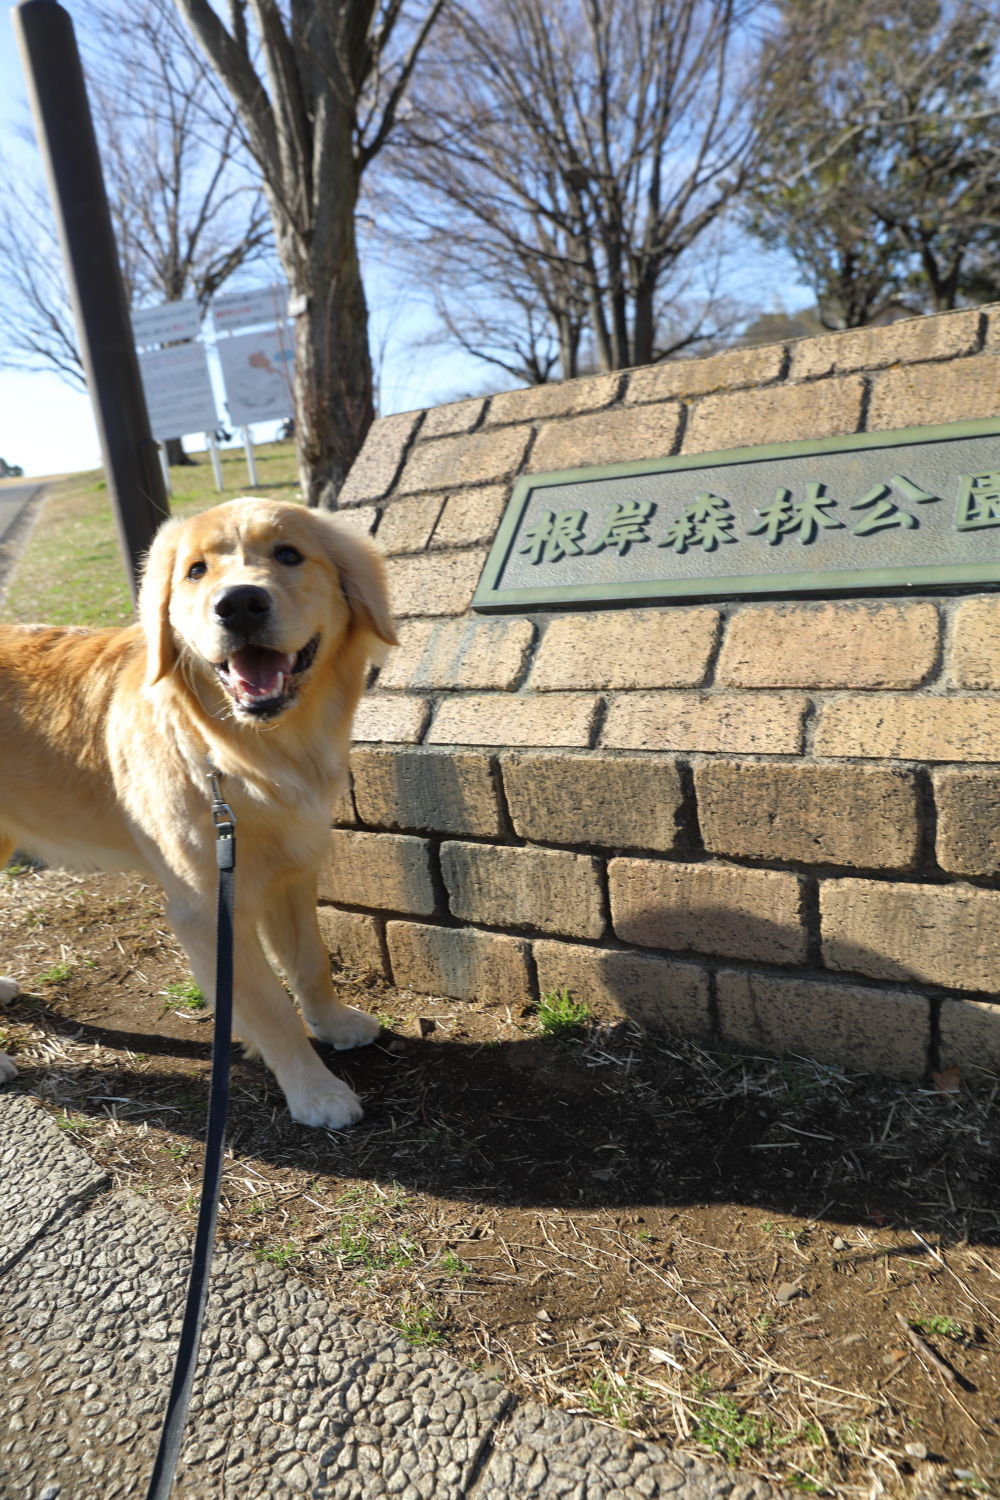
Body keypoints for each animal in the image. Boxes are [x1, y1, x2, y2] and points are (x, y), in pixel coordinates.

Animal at [0, 501, 398, 1128]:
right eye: (195, 571)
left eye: (288, 554)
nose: (239, 604)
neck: (240, 755)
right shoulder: (209, 908)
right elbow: (270, 1007)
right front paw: (315, 1092)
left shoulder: (291, 875)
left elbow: (310, 963)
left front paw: (333, 1025)